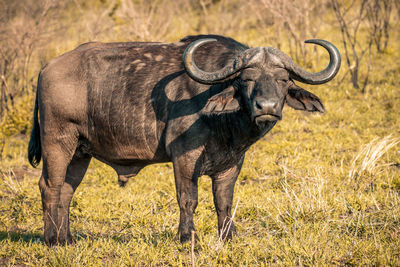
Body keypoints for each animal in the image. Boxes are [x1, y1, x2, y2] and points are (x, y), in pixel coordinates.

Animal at [28, 34, 340, 246]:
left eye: (284, 80)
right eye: (246, 80)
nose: (267, 107)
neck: (225, 122)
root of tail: (46, 67)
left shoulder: (232, 163)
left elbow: (224, 201)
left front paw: (228, 236)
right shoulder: (184, 157)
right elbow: (188, 198)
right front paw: (188, 237)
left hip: (80, 152)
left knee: (66, 190)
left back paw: (67, 238)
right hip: (57, 142)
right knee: (50, 186)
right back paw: (51, 239)